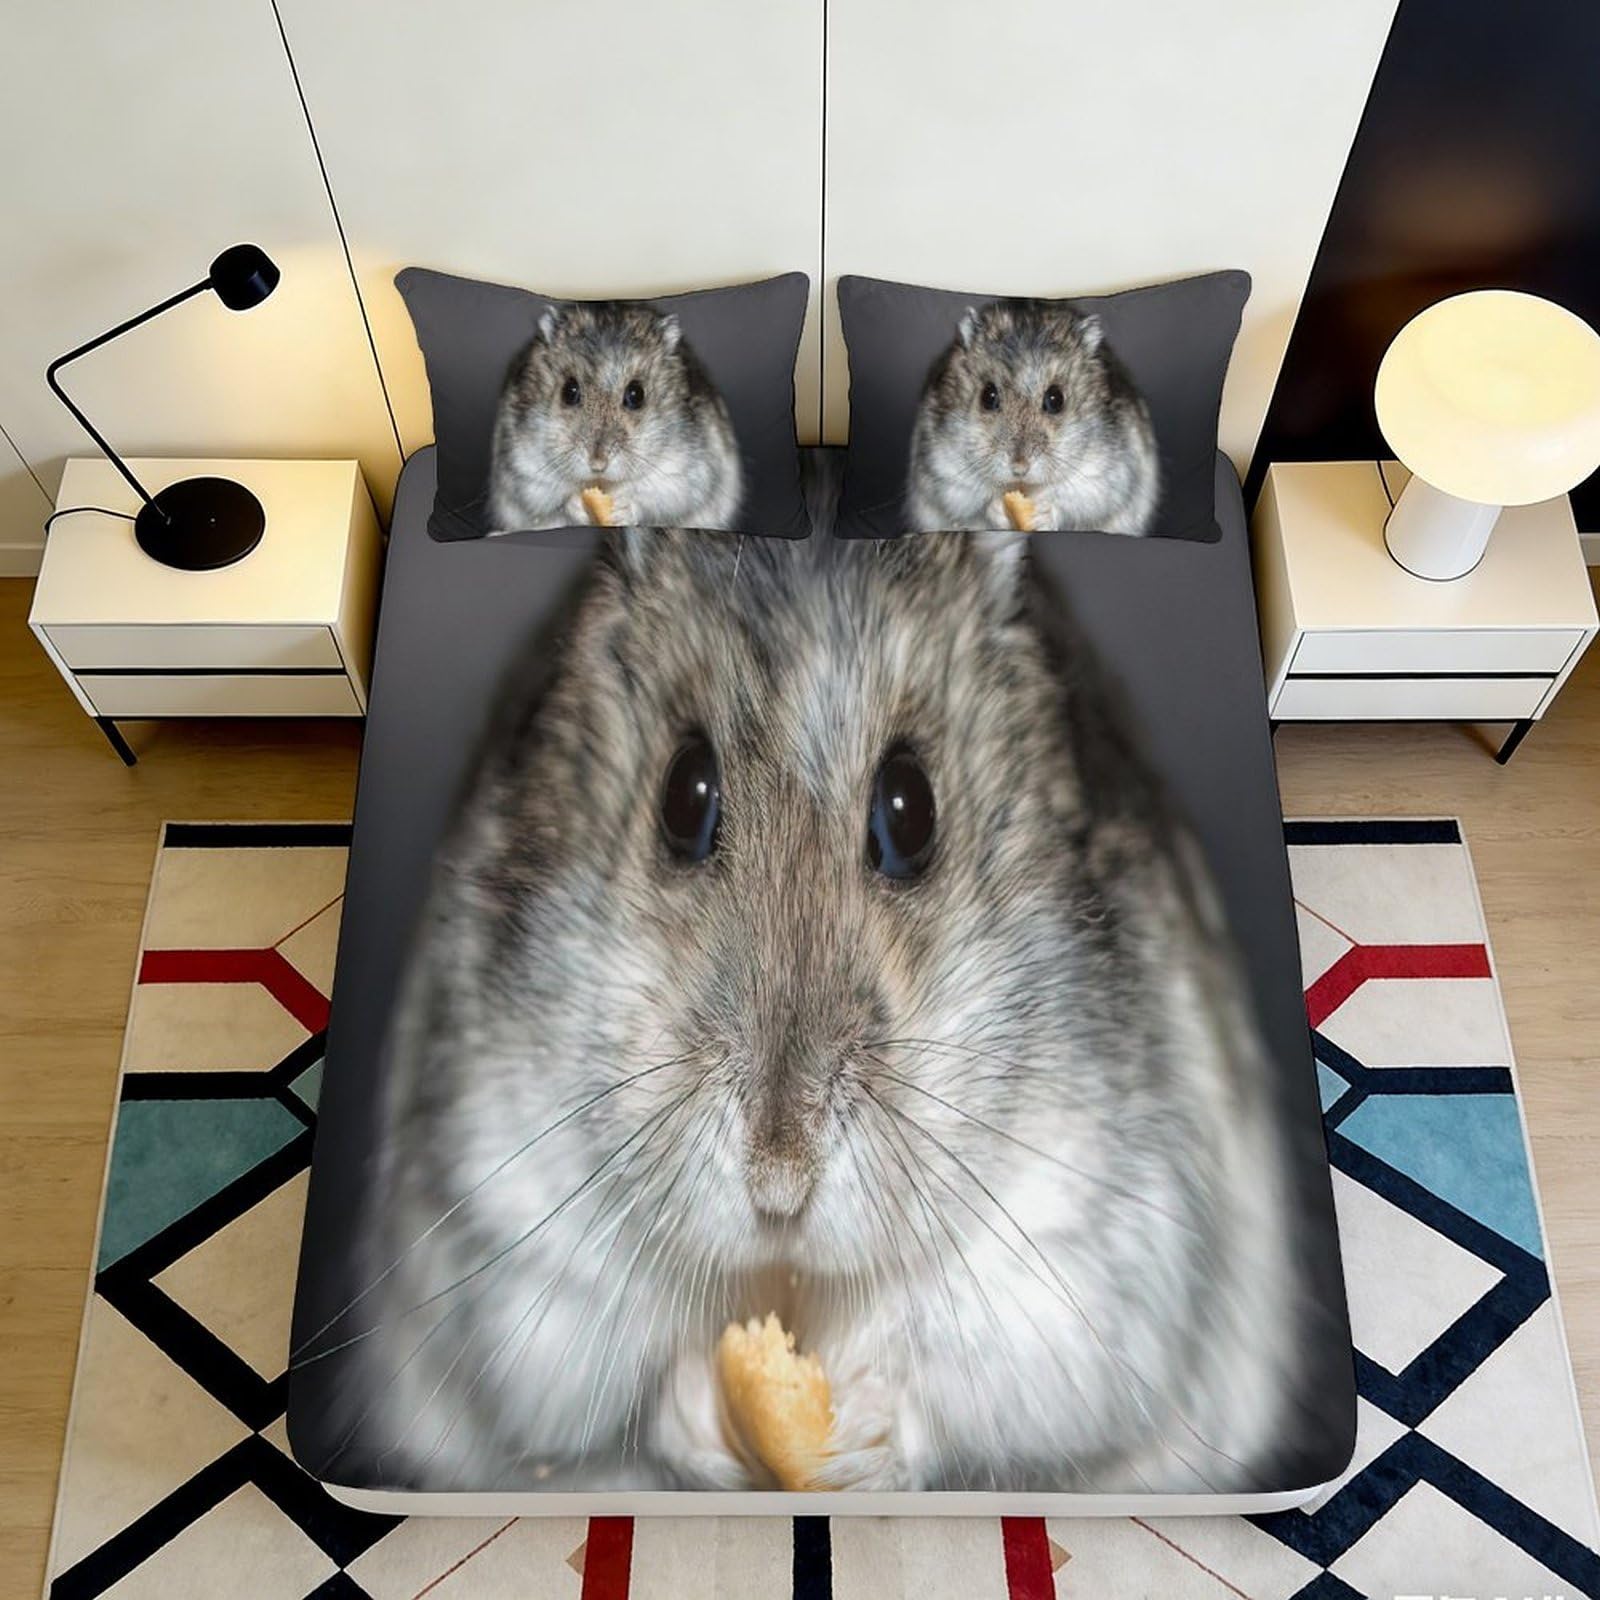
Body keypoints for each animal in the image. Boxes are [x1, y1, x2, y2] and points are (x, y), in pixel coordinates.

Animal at [340, 527, 1303, 1495]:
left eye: (910, 813)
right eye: (684, 797)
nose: (778, 1186)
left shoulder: (1089, 1241)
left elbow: (968, 1378)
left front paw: (856, 1434)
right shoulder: (508, 1223)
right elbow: (614, 1387)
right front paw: (707, 1415)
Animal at [486, 302, 743, 533]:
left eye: (636, 395)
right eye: (569, 391)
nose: (598, 464)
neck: (604, 483)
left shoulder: (682, 476)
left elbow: (653, 500)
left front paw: (623, 510)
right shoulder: (526, 472)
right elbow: (556, 501)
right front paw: (578, 506)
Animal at [906, 301, 1160, 535]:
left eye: (1056, 399)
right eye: (988, 396)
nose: (1019, 469)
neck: (1025, 487)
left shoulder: (1103, 480)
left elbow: (1072, 503)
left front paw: (1041, 515)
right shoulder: (945, 474)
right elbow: (976, 504)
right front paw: (999, 509)